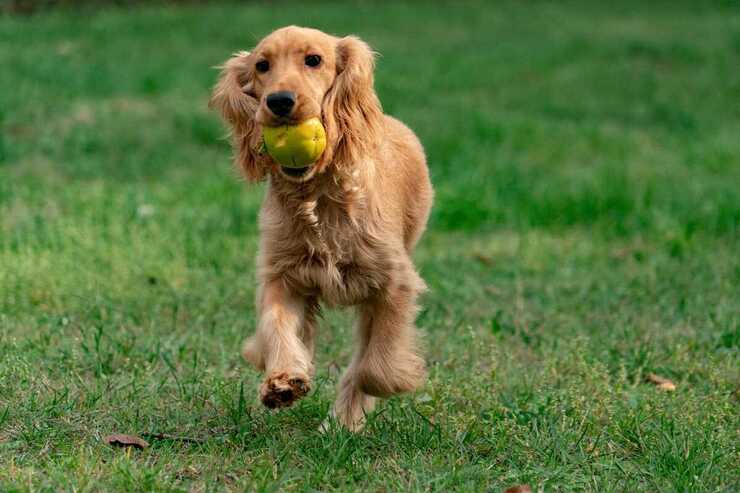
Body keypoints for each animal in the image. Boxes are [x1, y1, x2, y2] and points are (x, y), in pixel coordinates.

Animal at [211, 25, 434, 428]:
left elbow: (374, 363)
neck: (316, 197)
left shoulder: (394, 282)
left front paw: (368, 394)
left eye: (313, 60)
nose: (279, 101)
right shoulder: (282, 274)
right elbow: (276, 326)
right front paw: (282, 381)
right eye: (262, 66)